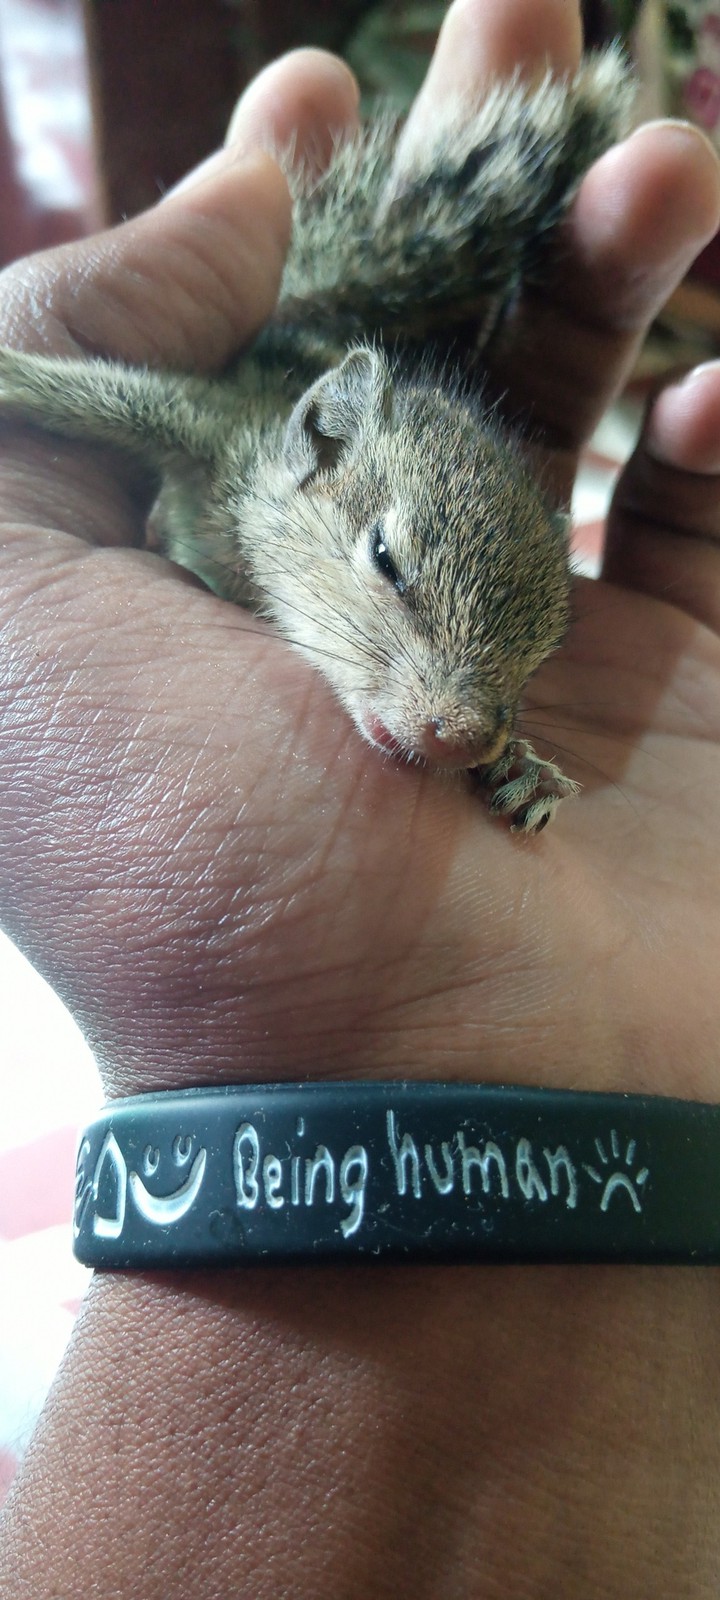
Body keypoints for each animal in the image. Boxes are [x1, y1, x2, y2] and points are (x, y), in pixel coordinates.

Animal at [0, 48, 633, 832]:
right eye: (386, 559)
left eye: (548, 647)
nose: (463, 739)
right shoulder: (210, 426)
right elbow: (105, 395)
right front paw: (14, 373)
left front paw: (526, 768)